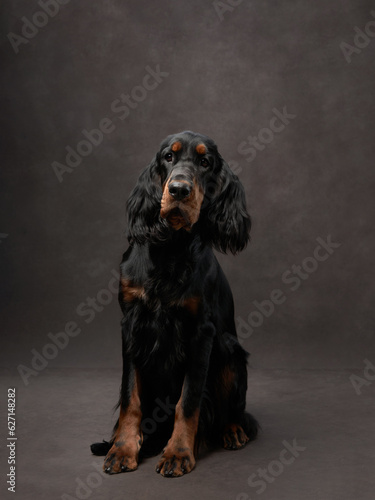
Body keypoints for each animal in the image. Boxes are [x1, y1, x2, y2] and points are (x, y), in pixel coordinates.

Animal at [92, 130, 258, 476]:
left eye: (205, 162)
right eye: (169, 156)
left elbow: (189, 398)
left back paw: (233, 430)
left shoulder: (201, 332)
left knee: (236, 413)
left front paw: (179, 452)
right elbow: (130, 397)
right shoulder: (131, 324)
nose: (179, 189)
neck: (170, 247)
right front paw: (123, 448)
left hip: (230, 350)